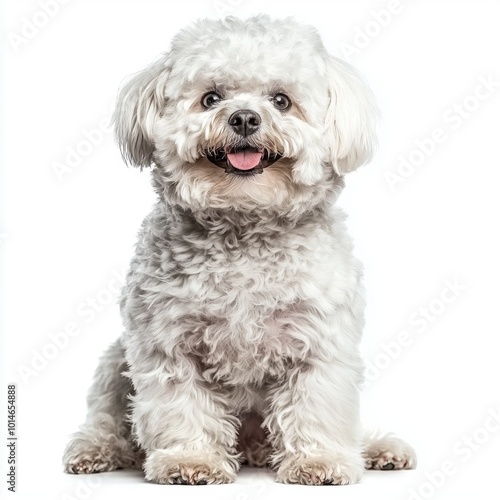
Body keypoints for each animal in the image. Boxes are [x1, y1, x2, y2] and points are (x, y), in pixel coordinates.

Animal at [61, 14, 414, 484]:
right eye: (211, 98)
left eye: (281, 101)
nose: (244, 118)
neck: (245, 229)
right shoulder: (168, 341)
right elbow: (181, 404)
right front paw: (190, 460)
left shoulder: (320, 341)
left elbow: (315, 404)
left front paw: (319, 460)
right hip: (115, 363)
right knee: (108, 417)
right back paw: (95, 449)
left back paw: (377, 450)